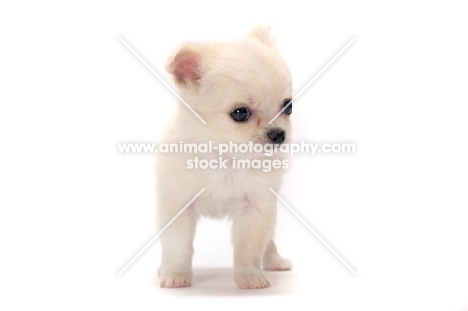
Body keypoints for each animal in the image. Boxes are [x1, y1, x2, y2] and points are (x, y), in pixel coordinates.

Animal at [157, 26, 292, 290]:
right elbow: (178, 247)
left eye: (288, 106)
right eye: (240, 113)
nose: (279, 134)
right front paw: (176, 274)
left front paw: (250, 276)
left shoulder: (257, 208)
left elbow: (250, 247)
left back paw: (274, 260)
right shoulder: (178, 207)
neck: (226, 157)